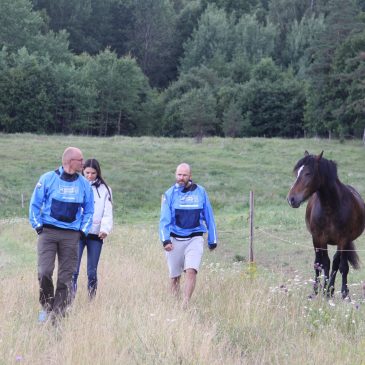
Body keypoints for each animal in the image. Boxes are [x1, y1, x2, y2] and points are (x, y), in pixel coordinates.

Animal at [286, 150, 362, 296]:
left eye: (308, 173)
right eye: (297, 172)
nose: (291, 199)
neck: (330, 208)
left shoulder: (343, 239)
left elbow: (342, 266)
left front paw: (342, 293)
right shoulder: (319, 238)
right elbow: (323, 263)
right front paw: (321, 291)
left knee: (337, 263)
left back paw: (332, 290)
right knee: (320, 262)